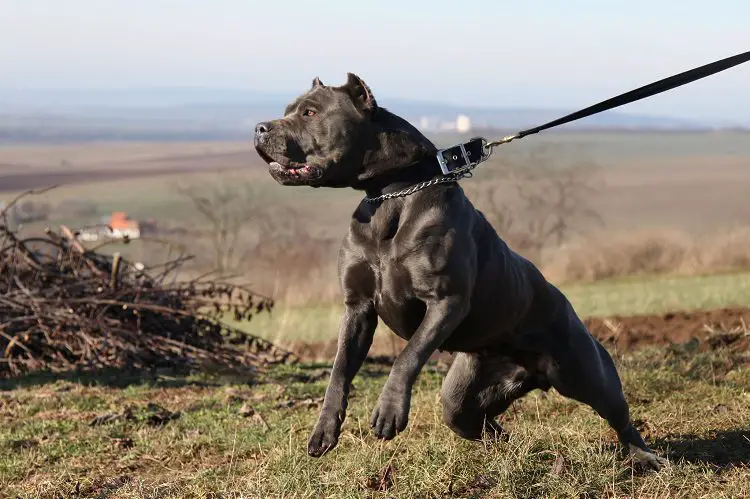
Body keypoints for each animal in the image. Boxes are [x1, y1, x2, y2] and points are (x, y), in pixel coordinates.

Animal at [256, 73, 668, 468]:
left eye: (310, 112)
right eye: (289, 110)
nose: (260, 127)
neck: (391, 194)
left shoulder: (444, 301)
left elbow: (408, 356)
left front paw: (389, 410)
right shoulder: (357, 308)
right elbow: (339, 371)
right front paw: (324, 429)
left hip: (587, 374)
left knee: (619, 415)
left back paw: (645, 457)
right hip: (463, 397)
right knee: (485, 425)